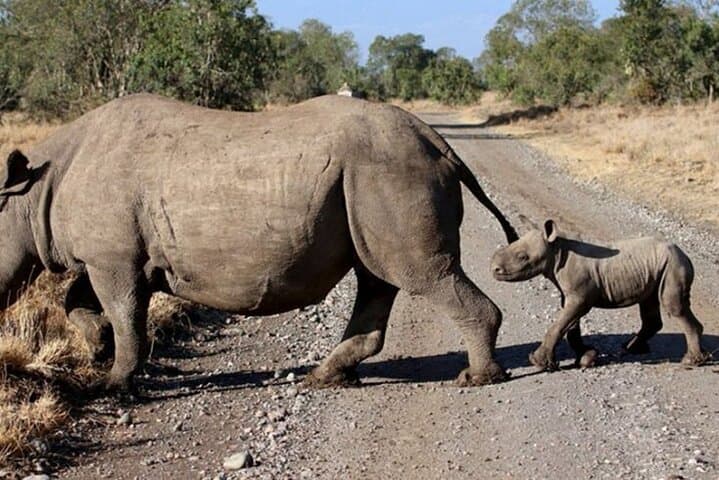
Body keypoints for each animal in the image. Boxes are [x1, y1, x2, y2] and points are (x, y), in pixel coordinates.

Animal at [1, 94, 518, 392]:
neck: (34, 189)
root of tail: (439, 142)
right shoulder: (112, 257)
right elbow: (81, 300)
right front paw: (99, 347)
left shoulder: (113, 258)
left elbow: (125, 313)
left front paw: (114, 383)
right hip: (375, 178)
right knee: (377, 276)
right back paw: (325, 378)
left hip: (390, 170)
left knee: (419, 273)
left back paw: (475, 379)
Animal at [490, 220, 710, 370]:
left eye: (522, 257)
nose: (494, 269)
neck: (556, 250)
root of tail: (685, 255)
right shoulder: (571, 294)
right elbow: (570, 327)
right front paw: (586, 357)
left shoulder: (579, 297)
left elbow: (560, 325)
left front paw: (538, 362)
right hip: (658, 266)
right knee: (649, 304)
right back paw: (630, 348)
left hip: (673, 264)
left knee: (673, 306)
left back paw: (690, 361)